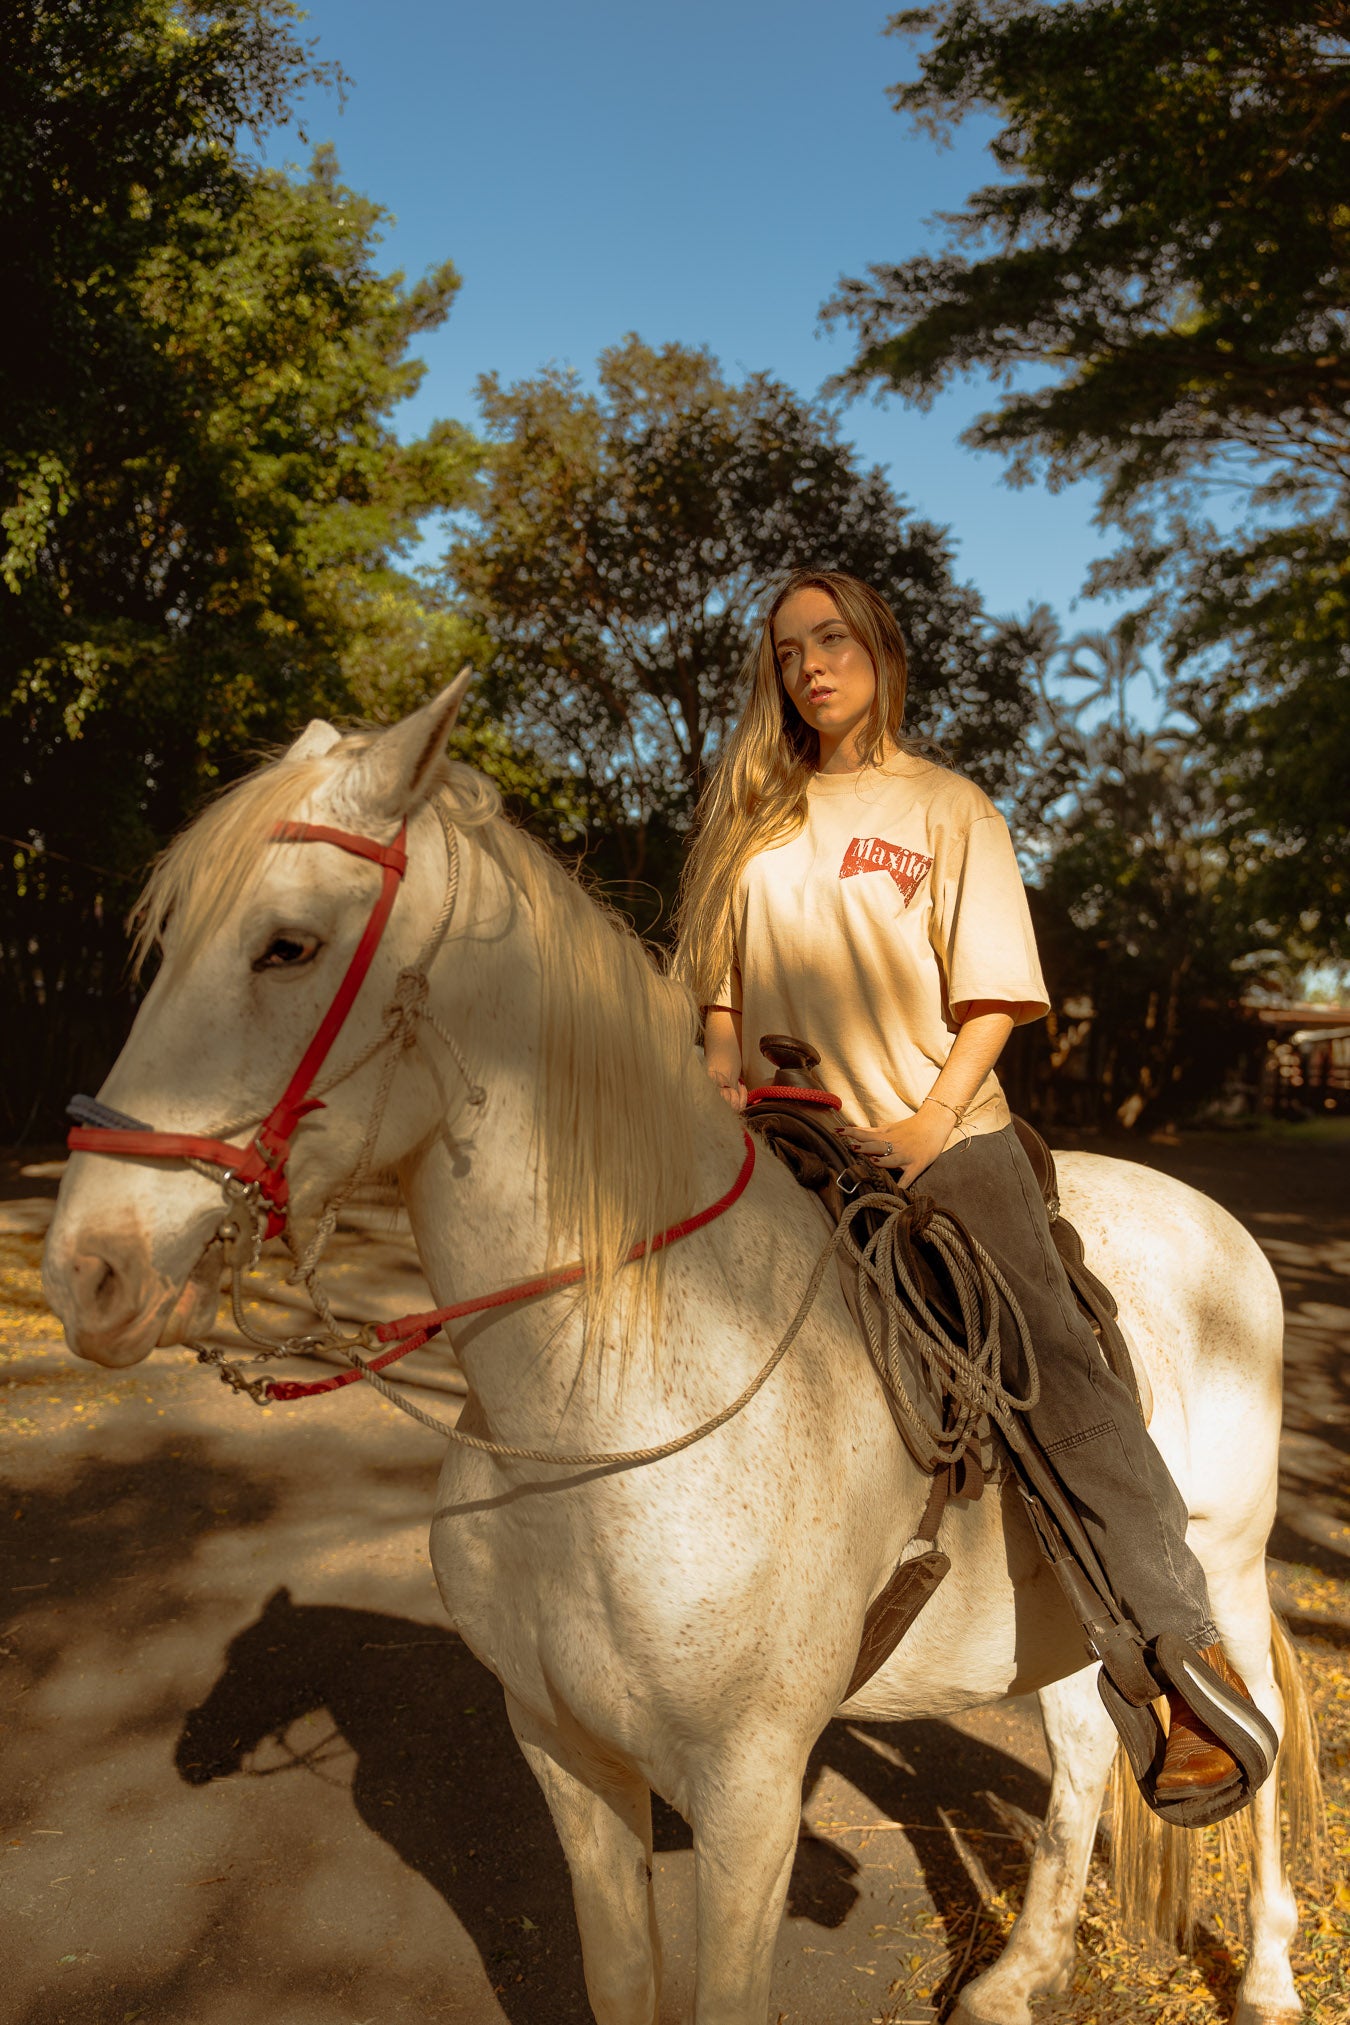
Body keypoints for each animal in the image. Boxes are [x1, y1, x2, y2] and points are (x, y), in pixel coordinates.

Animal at [44, 688, 1319, 2016]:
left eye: (286, 946)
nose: (89, 1269)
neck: (596, 1410)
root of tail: (1222, 1227)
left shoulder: (748, 1797)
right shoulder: (565, 1756)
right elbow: (618, 1978)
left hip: (1223, 1568)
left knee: (1263, 1733)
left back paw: (1269, 1974)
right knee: (1079, 1752)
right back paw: (1017, 1976)